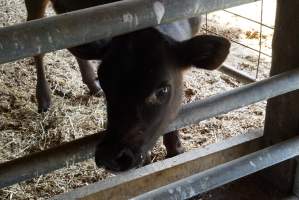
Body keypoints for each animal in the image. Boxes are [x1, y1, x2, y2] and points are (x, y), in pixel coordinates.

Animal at [26, 0, 232, 172]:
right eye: (106, 81)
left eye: (162, 90)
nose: (110, 157)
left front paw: (176, 148)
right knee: (38, 47)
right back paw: (44, 97)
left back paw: (90, 83)